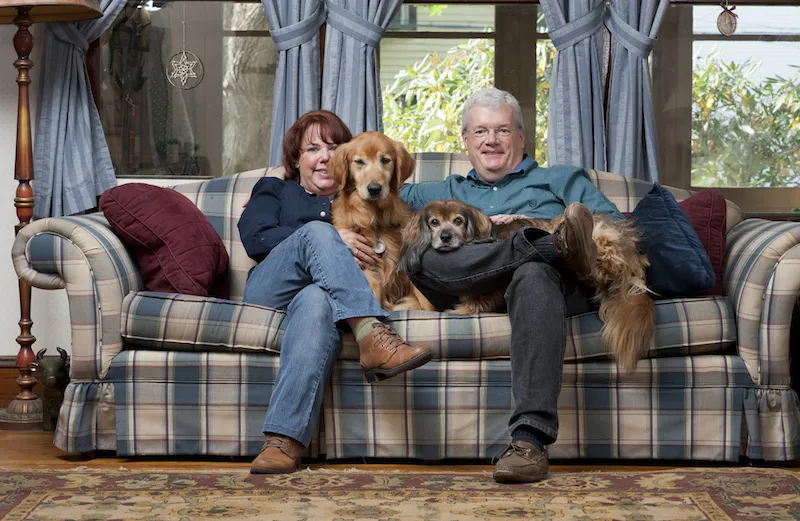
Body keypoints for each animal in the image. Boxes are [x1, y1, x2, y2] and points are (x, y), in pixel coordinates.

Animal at [404, 199, 652, 370]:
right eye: (433, 223)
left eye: (458, 221)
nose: (445, 237)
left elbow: (478, 300)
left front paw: (461, 310)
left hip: (599, 237)